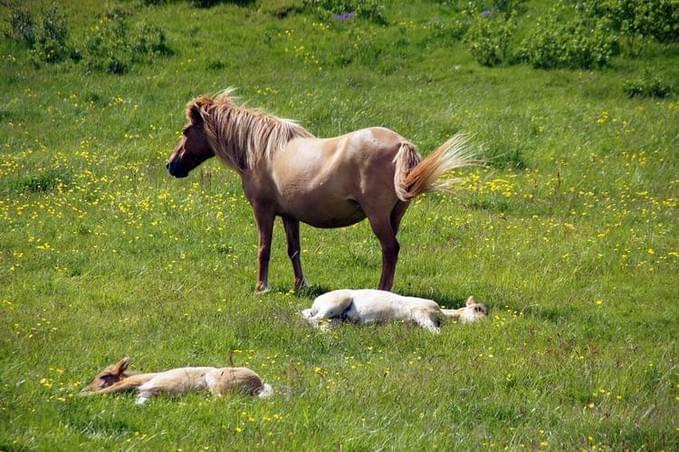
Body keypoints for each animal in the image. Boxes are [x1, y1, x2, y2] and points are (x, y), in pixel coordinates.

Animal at [166, 90, 472, 292]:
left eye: (185, 131)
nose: (171, 165)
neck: (263, 151)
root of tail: (401, 144)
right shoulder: (289, 216)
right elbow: (293, 250)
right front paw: (300, 285)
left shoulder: (263, 211)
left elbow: (264, 248)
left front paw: (261, 287)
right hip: (394, 216)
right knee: (391, 252)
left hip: (377, 216)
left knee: (390, 248)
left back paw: (381, 292)